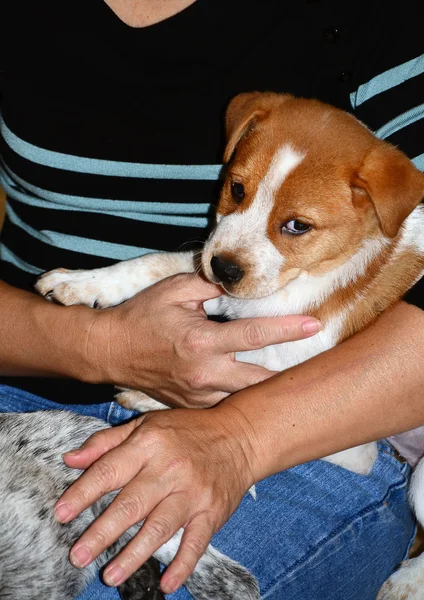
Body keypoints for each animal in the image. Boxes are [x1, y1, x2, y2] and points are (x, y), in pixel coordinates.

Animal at [23, 94, 424, 600]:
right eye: (236, 188)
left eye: (298, 225)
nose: (225, 269)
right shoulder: (218, 282)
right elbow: (156, 265)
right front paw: (81, 283)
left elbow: (237, 381)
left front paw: (155, 399)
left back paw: (406, 582)